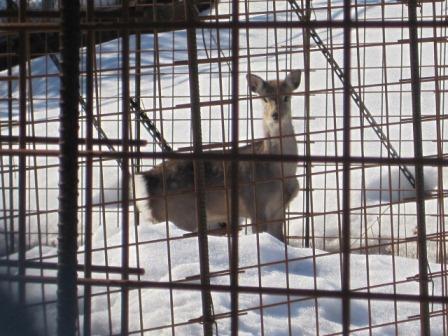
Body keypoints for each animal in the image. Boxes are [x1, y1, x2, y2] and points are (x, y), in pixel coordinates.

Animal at [133, 69, 300, 242]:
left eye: (287, 97)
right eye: (264, 98)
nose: (275, 115)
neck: (280, 172)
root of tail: (146, 179)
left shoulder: (279, 209)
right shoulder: (255, 203)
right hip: (179, 216)